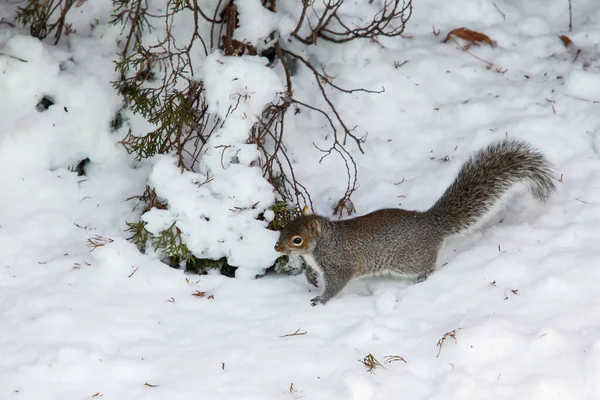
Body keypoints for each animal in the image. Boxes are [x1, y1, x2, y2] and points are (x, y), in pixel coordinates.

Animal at [274, 139, 556, 304]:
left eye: (297, 240)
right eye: (283, 228)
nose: (277, 248)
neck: (323, 244)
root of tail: (432, 222)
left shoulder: (340, 264)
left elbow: (337, 284)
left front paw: (321, 299)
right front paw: (311, 278)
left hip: (409, 261)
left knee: (428, 267)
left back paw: (422, 279)